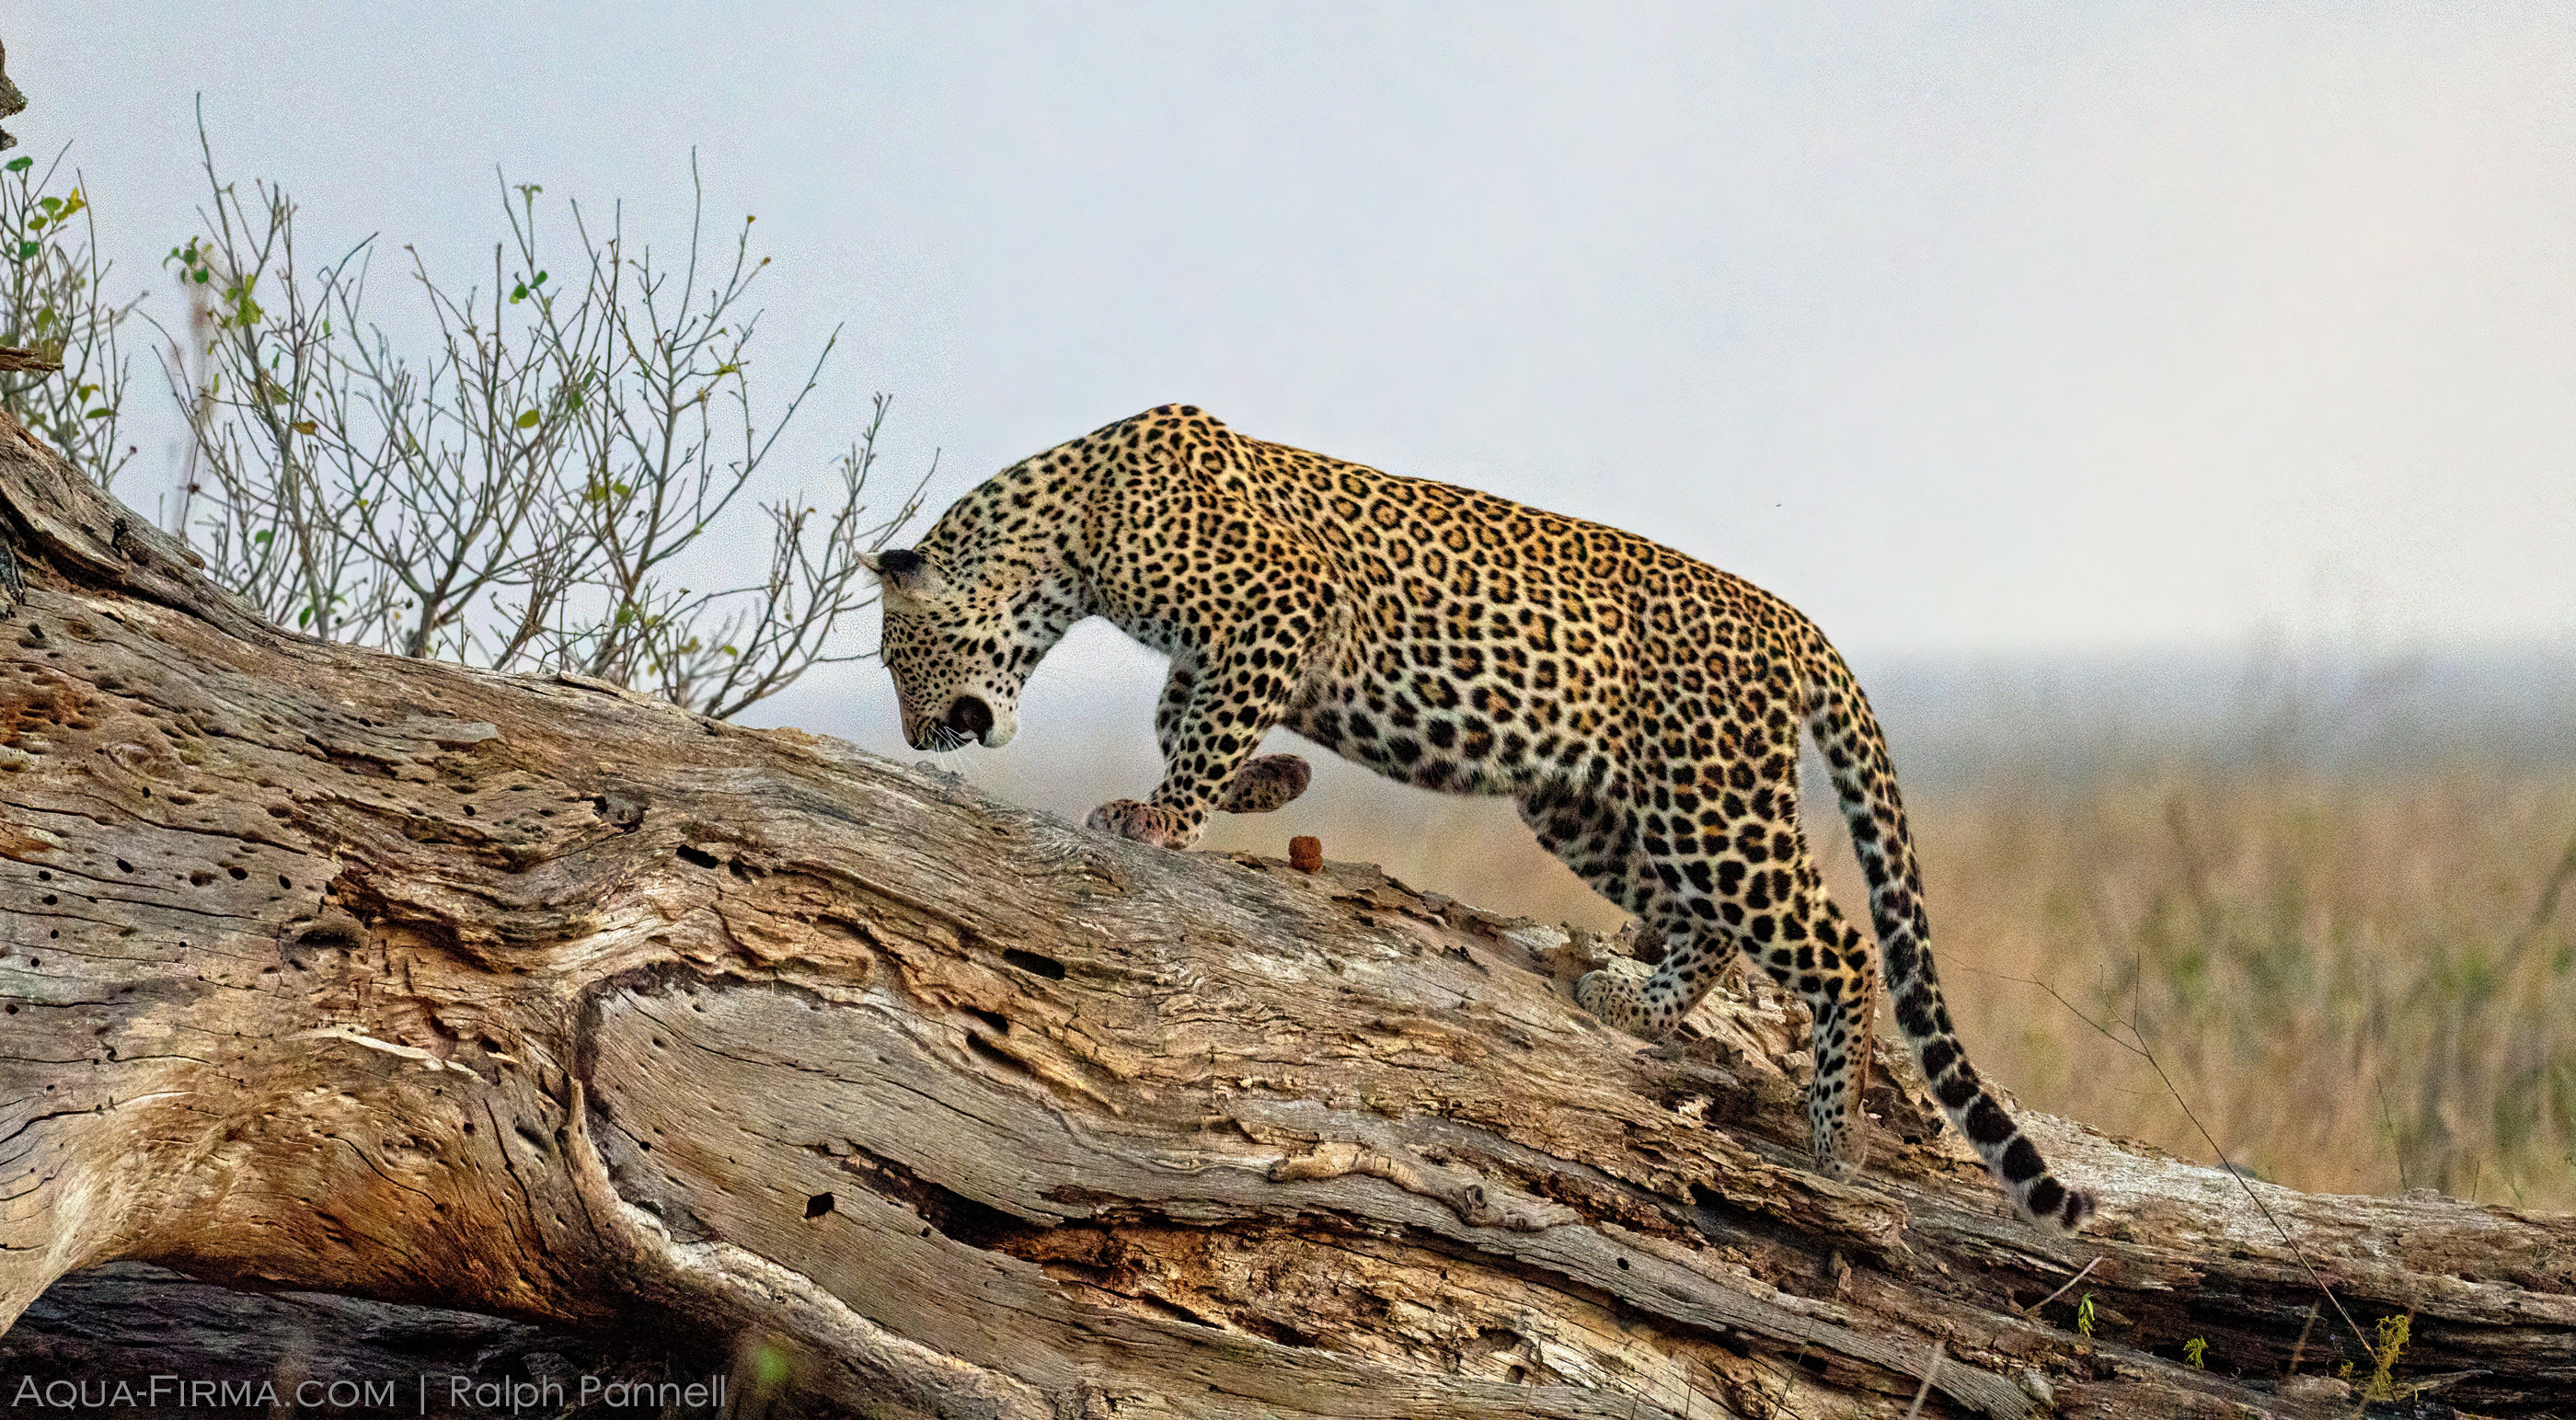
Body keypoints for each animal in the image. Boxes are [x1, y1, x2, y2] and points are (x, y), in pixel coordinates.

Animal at [860, 403, 2096, 1232]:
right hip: (1585, 803)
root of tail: (1791, 620)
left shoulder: (1278, 602)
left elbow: (1201, 725)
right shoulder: (1234, 642)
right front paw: (1270, 785)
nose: (916, 738)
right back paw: (1639, 996)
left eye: (894, 656)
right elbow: (1189, 714)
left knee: (1836, 944)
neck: (1066, 528)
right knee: (1710, 925)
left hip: (1711, 801)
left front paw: (1162, 817)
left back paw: (1832, 1135)